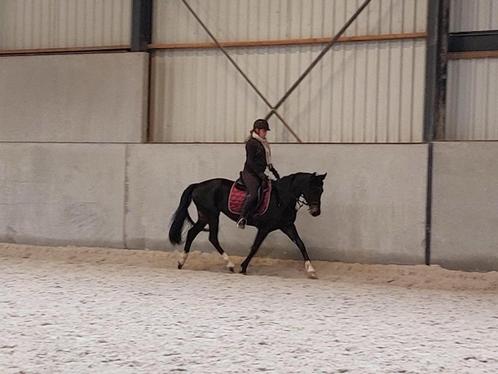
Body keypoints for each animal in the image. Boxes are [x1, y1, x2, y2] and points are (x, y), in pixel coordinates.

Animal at [169, 172, 326, 278]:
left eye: (321, 191)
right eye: (313, 189)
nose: (316, 212)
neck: (281, 197)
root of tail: (198, 185)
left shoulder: (287, 226)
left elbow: (300, 244)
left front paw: (311, 270)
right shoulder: (265, 228)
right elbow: (255, 247)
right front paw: (243, 268)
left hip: (204, 217)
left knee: (192, 233)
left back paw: (181, 262)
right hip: (212, 215)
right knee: (212, 237)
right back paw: (230, 265)